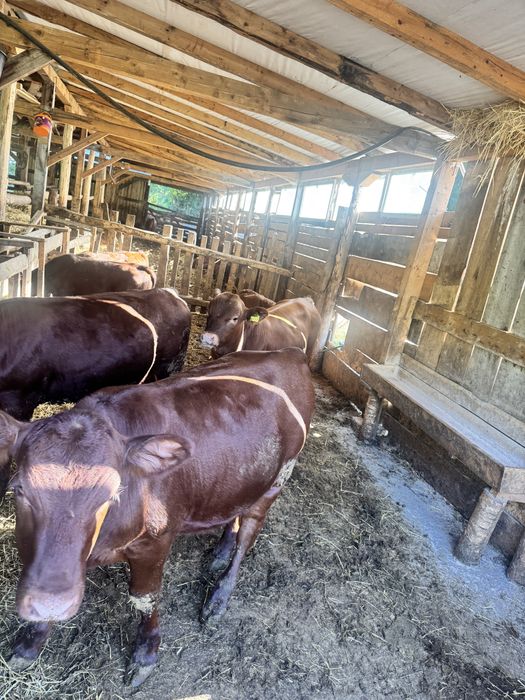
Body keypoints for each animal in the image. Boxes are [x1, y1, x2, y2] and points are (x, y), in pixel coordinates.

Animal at [1, 348, 315, 686]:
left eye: (110, 495)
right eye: (19, 490)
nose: (49, 603)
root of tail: (289, 352)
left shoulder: (154, 542)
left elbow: (145, 598)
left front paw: (146, 654)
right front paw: (31, 641)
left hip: (278, 478)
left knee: (249, 534)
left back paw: (219, 596)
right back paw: (220, 551)